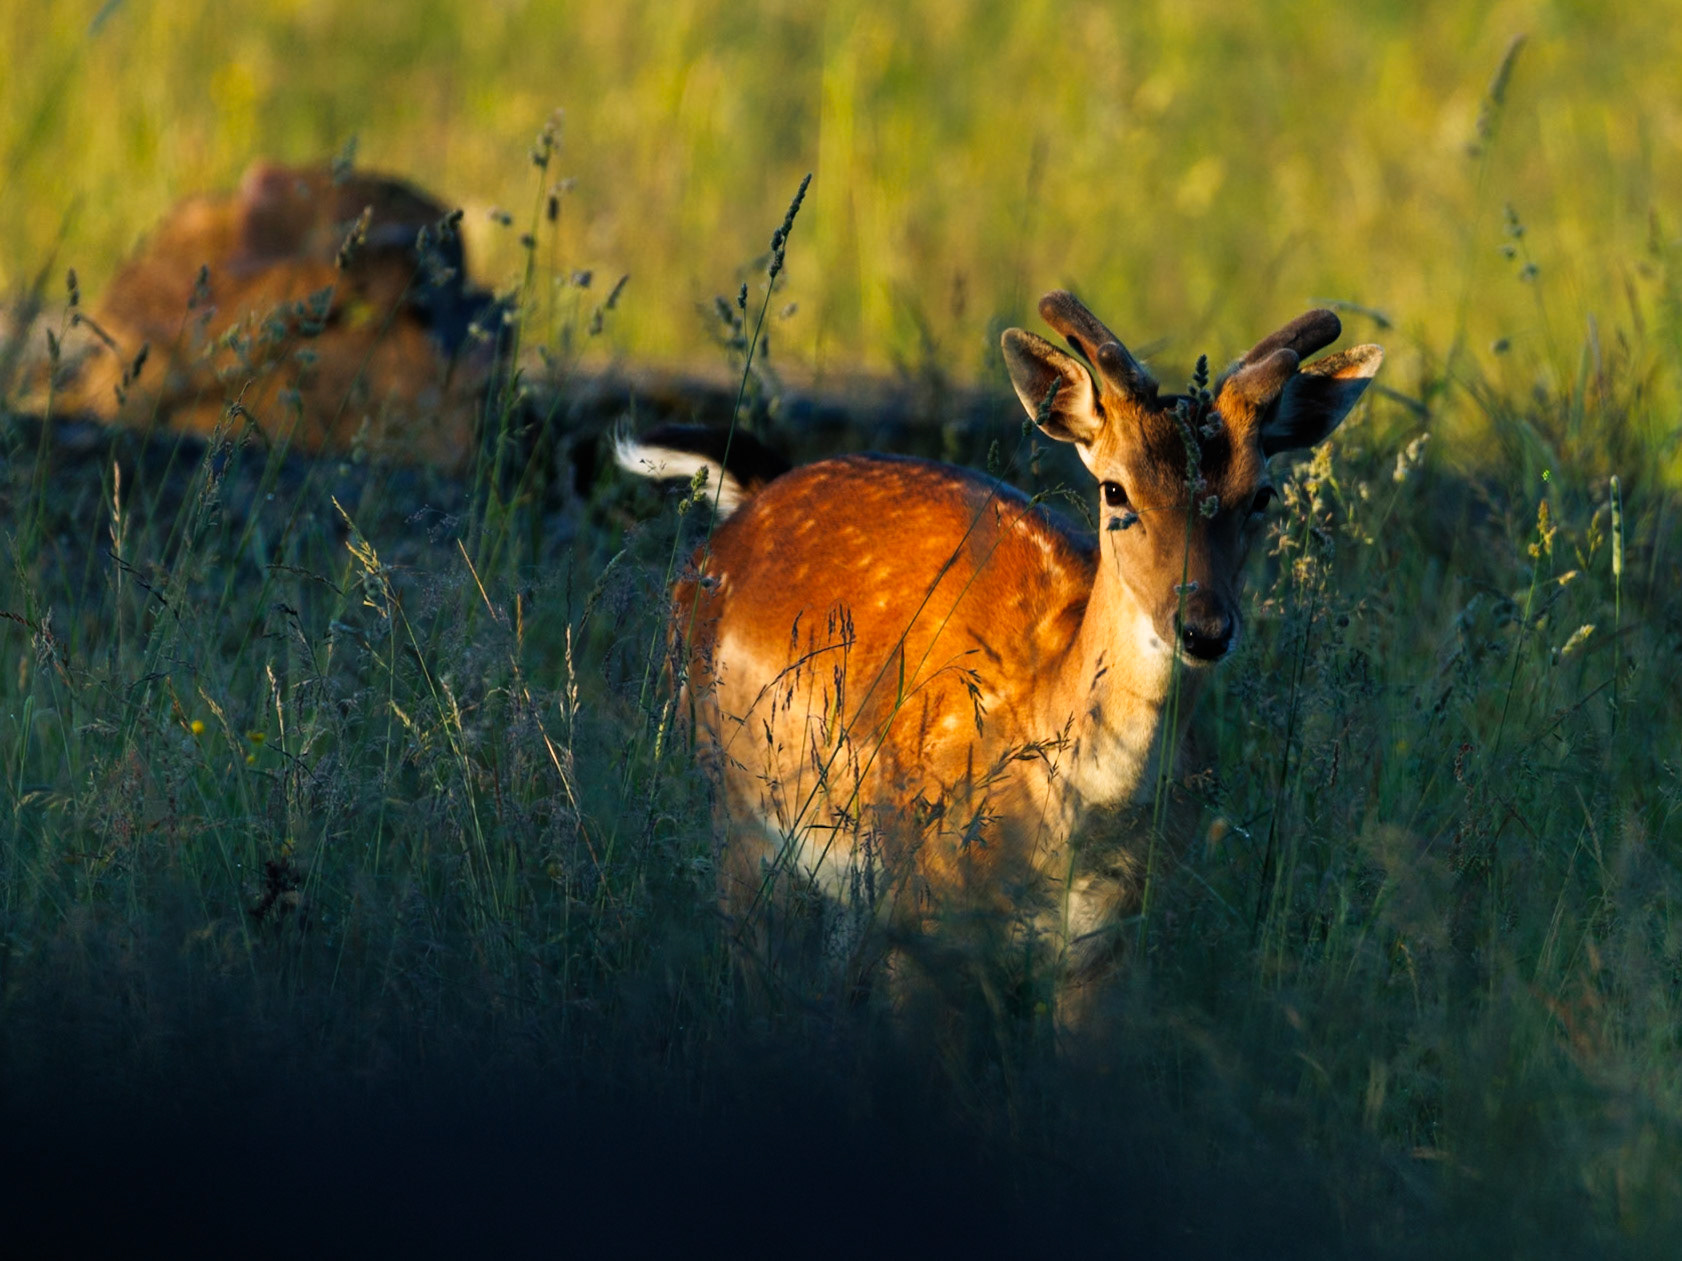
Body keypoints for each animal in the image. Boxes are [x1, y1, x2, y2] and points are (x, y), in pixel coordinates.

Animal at [616, 291, 1382, 994]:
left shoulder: (1112, 947)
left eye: (1262, 496)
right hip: (729, 794)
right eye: (1115, 490)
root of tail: (753, 496)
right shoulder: (921, 905)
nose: (1203, 626)